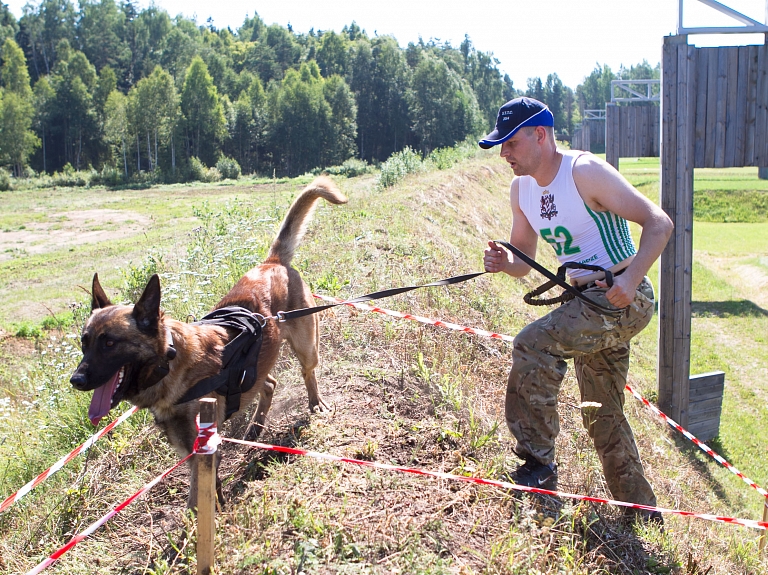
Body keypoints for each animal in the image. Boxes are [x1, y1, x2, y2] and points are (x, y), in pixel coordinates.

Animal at [70, 177, 346, 508]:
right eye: (84, 343)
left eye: (110, 343)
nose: (76, 380)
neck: (172, 365)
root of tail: (272, 262)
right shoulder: (191, 451)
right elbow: (202, 493)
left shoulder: (202, 449)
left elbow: (199, 498)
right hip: (256, 368)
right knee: (269, 383)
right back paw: (255, 426)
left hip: (306, 346)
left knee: (308, 373)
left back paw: (315, 403)